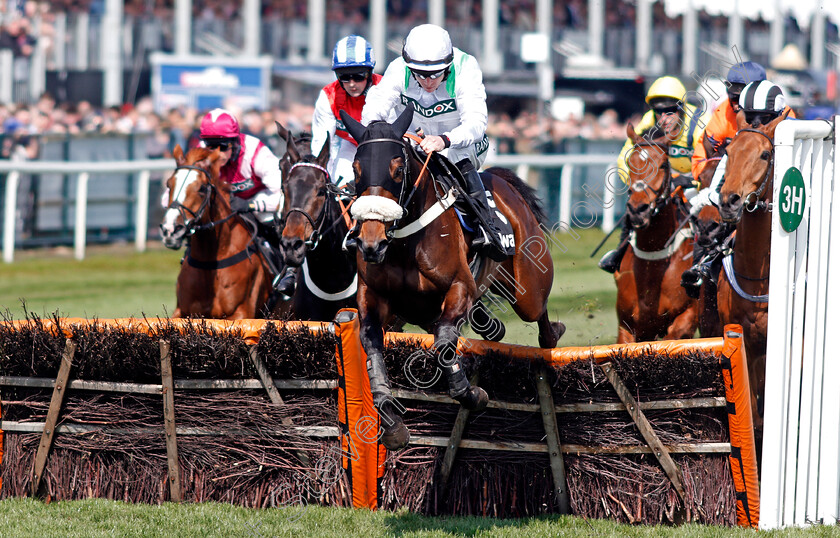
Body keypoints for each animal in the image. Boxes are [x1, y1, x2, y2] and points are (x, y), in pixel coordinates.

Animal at [159, 143, 288, 318]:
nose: (170, 230)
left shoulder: (242, 312)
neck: (210, 264)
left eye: (202, 188)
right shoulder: (182, 311)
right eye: (169, 184)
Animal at [340, 109, 564, 448]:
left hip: (528, 289)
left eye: (397, 168)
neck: (405, 243)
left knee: (539, 314)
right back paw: (491, 325)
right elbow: (371, 343)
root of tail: (500, 179)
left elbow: (445, 342)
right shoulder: (375, 298)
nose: (371, 242)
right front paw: (391, 423)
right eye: (356, 169)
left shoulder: (460, 287)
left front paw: (471, 393)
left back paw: (552, 335)